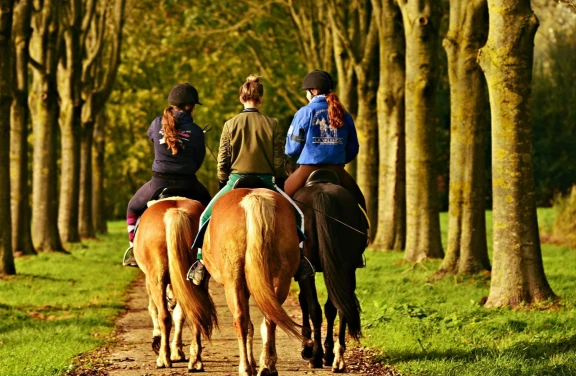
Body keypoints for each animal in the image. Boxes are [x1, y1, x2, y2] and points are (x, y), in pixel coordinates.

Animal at [133, 198, 218, 372]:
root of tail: (176, 212)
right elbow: (179, 314)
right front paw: (177, 351)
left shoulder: (149, 280)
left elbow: (153, 309)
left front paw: (158, 341)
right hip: (197, 280)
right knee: (195, 312)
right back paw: (196, 361)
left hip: (156, 278)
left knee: (164, 316)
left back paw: (163, 359)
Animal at [200, 187, 304, 374]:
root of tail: (254, 197)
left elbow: (248, 324)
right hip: (280, 279)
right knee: (270, 318)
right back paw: (267, 365)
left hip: (233, 281)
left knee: (240, 320)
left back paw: (245, 367)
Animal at [288, 168, 368, 374]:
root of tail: (322, 194)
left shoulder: (304, 272)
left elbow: (305, 303)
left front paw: (307, 348)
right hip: (345, 268)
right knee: (338, 307)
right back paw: (336, 358)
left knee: (315, 309)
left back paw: (316, 356)